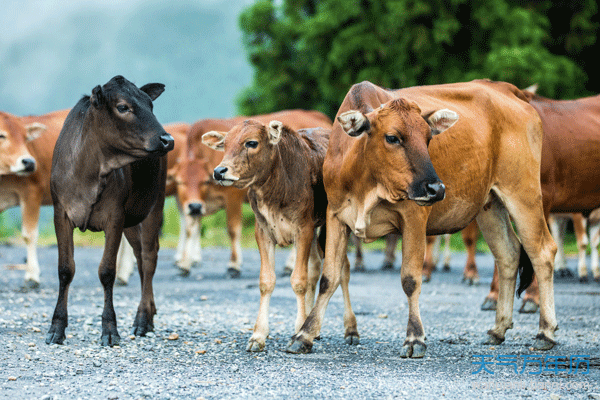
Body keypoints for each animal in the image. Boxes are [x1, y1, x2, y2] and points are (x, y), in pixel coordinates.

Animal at [0, 108, 68, 286]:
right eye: (1, 135)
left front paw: (32, 275)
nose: (29, 162)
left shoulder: (32, 191)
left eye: (25, 138)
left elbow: (29, 235)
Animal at [46, 76, 173, 346]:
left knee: (149, 257)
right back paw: (150, 314)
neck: (90, 173)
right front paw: (56, 328)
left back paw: (143, 319)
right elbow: (65, 269)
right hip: (132, 220)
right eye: (123, 107)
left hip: (154, 204)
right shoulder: (61, 212)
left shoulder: (115, 216)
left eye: (150, 105)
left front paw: (110, 329)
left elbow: (107, 271)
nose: (167, 140)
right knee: (139, 257)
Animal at [173, 110, 332, 278]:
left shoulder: (232, 197)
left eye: (204, 181)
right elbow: (190, 229)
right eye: (179, 182)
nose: (218, 172)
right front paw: (185, 264)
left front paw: (234, 265)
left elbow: (232, 229)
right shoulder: (193, 203)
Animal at [203, 120, 346, 352]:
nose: (219, 171)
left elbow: (299, 280)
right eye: (225, 144)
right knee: (316, 268)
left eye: (251, 143)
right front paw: (258, 335)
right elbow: (266, 281)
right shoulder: (262, 232)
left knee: (341, 270)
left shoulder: (303, 230)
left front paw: (299, 330)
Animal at [286, 79, 556, 358]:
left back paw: (545, 331)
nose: (436, 189)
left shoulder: (414, 216)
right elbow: (329, 278)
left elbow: (410, 279)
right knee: (508, 255)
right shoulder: (336, 217)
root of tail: (510, 91)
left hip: (523, 194)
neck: (366, 182)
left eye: (428, 139)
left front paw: (415, 337)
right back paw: (499, 328)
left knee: (542, 252)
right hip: (490, 206)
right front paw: (305, 334)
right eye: (392, 137)